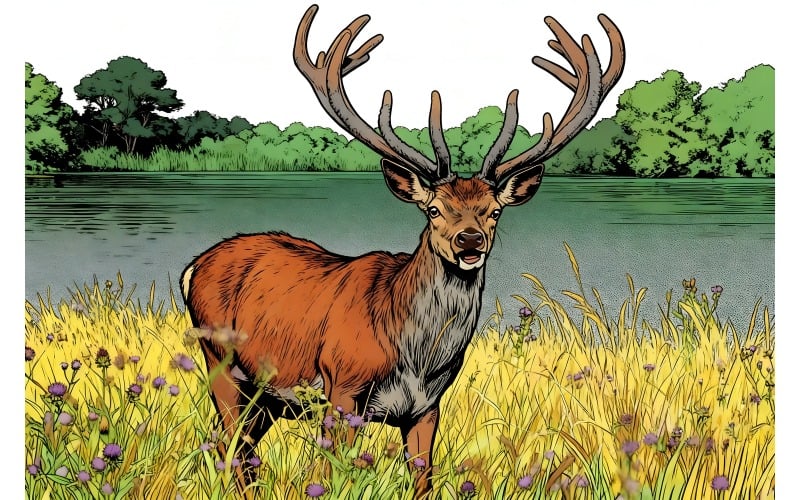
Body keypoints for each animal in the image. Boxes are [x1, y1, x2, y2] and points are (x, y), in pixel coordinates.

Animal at [180, 4, 624, 497]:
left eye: (494, 212)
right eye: (433, 209)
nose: (469, 241)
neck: (414, 354)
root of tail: (193, 266)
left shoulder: (427, 406)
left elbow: (422, 477)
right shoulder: (342, 388)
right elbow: (331, 476)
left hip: (266, 397)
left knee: (234, 448)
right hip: (221, 361)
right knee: (229, 444)